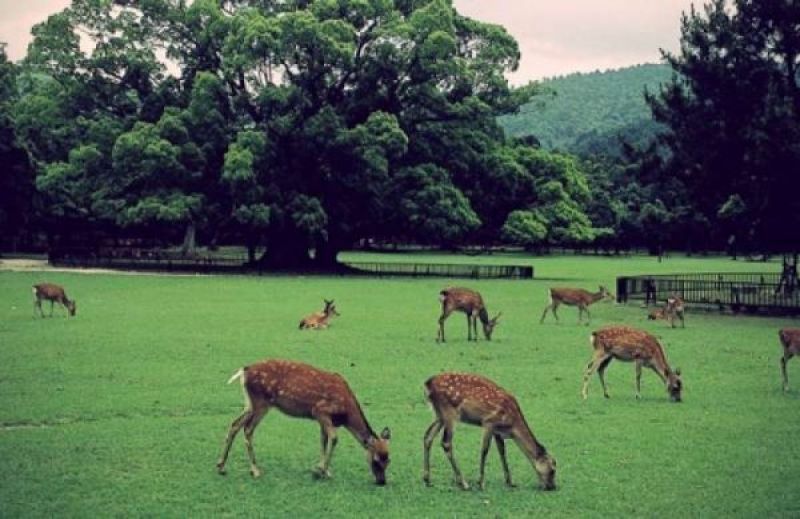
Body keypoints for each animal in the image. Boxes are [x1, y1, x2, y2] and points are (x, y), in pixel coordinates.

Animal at [217, 360, 392, 486]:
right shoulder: (320, 410)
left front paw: (320, 468)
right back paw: (255, 470)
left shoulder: (322, 420)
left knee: (234, 424)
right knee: (247, 430)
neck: (345, 414)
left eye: (389, 460)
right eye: (376, 460)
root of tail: (244, 370)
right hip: (260, 403)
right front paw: (322, 472)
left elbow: (323, 441)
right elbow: (334, 438)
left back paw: (221, 466)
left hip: (250, 404)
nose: (382, 482)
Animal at [422, 374, 560, 492]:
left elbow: (502, 451)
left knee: (427, 436)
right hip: (450, 413)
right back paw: (464, 483)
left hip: (439, 415)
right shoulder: (489, 422)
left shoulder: (497, 430)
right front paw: (481, 483)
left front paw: (510, 482)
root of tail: (428, 384)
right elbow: (485, 450)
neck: (511, 426)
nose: (552, 487)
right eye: (552, 470)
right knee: (446, 442)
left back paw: (427, 479)